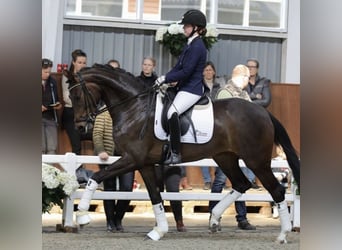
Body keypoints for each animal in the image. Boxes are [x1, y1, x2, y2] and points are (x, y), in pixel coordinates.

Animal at [64, 64, 300, 242]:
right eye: (70, 96)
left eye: (77, 96)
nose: (80, 127)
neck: (134, 108)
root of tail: (263, 112)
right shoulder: (144, 163)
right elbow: (155, 195)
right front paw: (158, 231)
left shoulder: (132, 159)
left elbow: (96, 176)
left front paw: (82, 215)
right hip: (225, 157)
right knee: (242, 184)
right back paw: (214, 219)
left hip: (256, 160)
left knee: (276, 190)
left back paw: (282, 235)